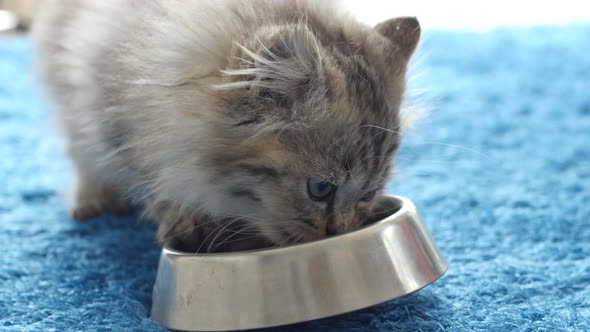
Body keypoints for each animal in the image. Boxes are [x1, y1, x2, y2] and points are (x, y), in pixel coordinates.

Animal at [32, 0, 424, 253]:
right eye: (320, 189)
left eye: (368, 193)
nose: (334, 233)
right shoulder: (111, 113)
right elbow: (151, 175)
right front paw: (181, 219)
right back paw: (91, 200)